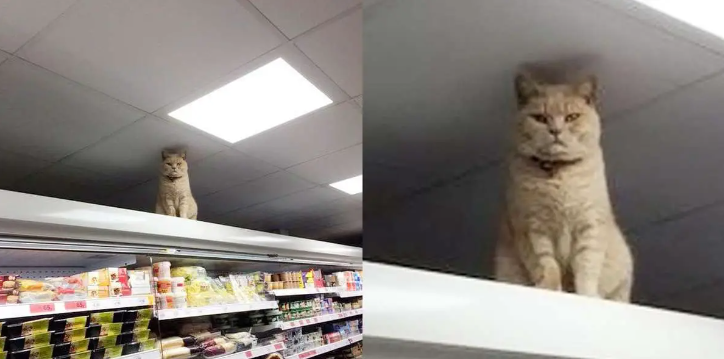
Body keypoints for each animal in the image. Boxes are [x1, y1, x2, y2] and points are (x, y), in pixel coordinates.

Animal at [492, 71, 632, 302]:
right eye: (540, 118)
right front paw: (550, 288)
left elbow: (586, 267)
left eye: (571, 117)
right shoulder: (532, 228)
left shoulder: (590, 224)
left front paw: (588, 294)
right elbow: (547, 265)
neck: (559, 175)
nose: (555, 130)